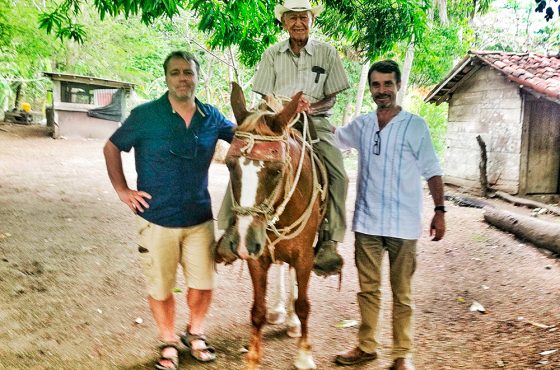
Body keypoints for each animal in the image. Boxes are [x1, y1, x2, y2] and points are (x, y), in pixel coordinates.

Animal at [219, 84, 324, 370]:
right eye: (230, 165)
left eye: (276, 171)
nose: (244, 242)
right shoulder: (258, 256)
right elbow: (257, 310)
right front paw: (253, 358)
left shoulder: (305, 255)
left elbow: (304, 304)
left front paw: (304, 355)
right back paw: (280, 311)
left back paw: (292, 321)